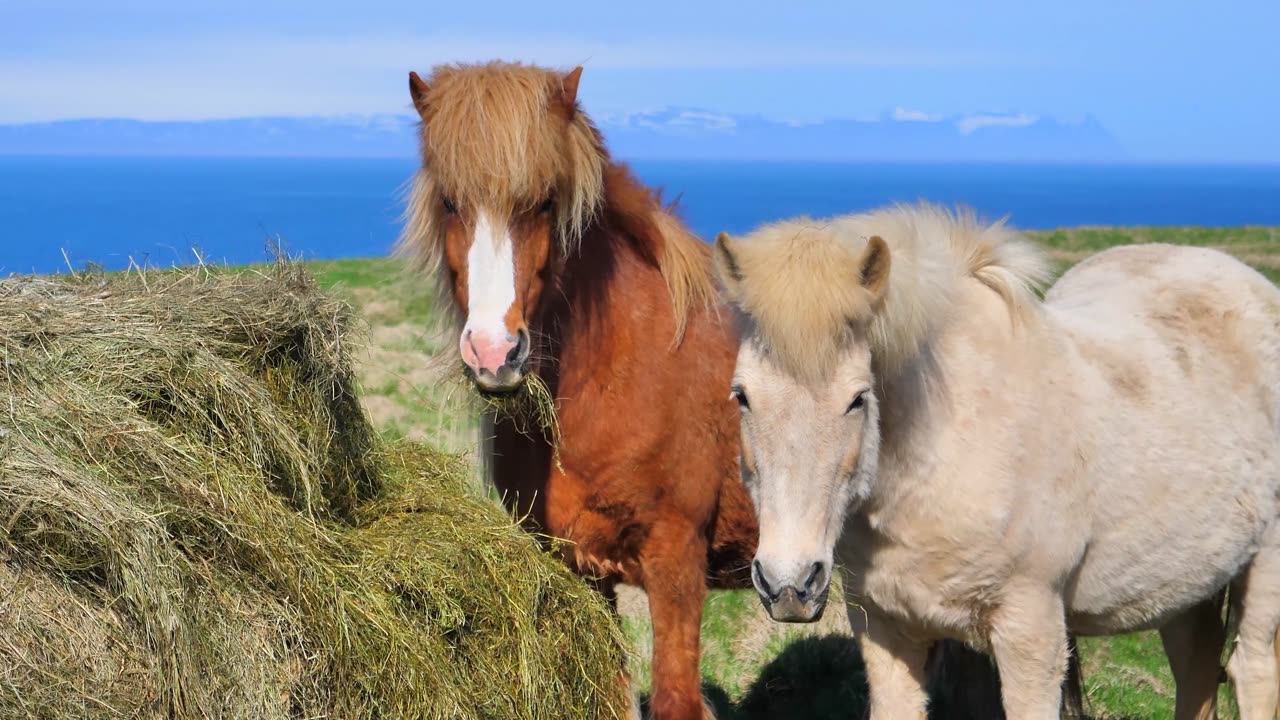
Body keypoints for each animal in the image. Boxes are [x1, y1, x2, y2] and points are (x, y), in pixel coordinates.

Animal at [711, 202, 1280, 717]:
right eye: (742, 396)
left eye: (857, 398)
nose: (788, 584)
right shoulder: (886, 630)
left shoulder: (1031, 633)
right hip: (1186, 585)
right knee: (1195, 664)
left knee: (1250, 669)